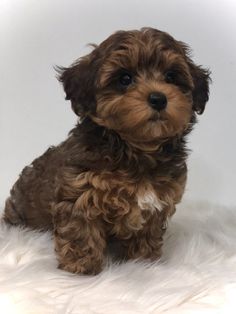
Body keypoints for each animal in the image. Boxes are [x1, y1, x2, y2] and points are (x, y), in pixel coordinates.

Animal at [3, 28, 210, 274]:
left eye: (171, 77)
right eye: (125, 79)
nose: (158, 98)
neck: (135, 149)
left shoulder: (155, 204)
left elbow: (145, 235)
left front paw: (144, 262)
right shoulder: (80, 193)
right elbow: (81, 231)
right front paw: (80, 267)